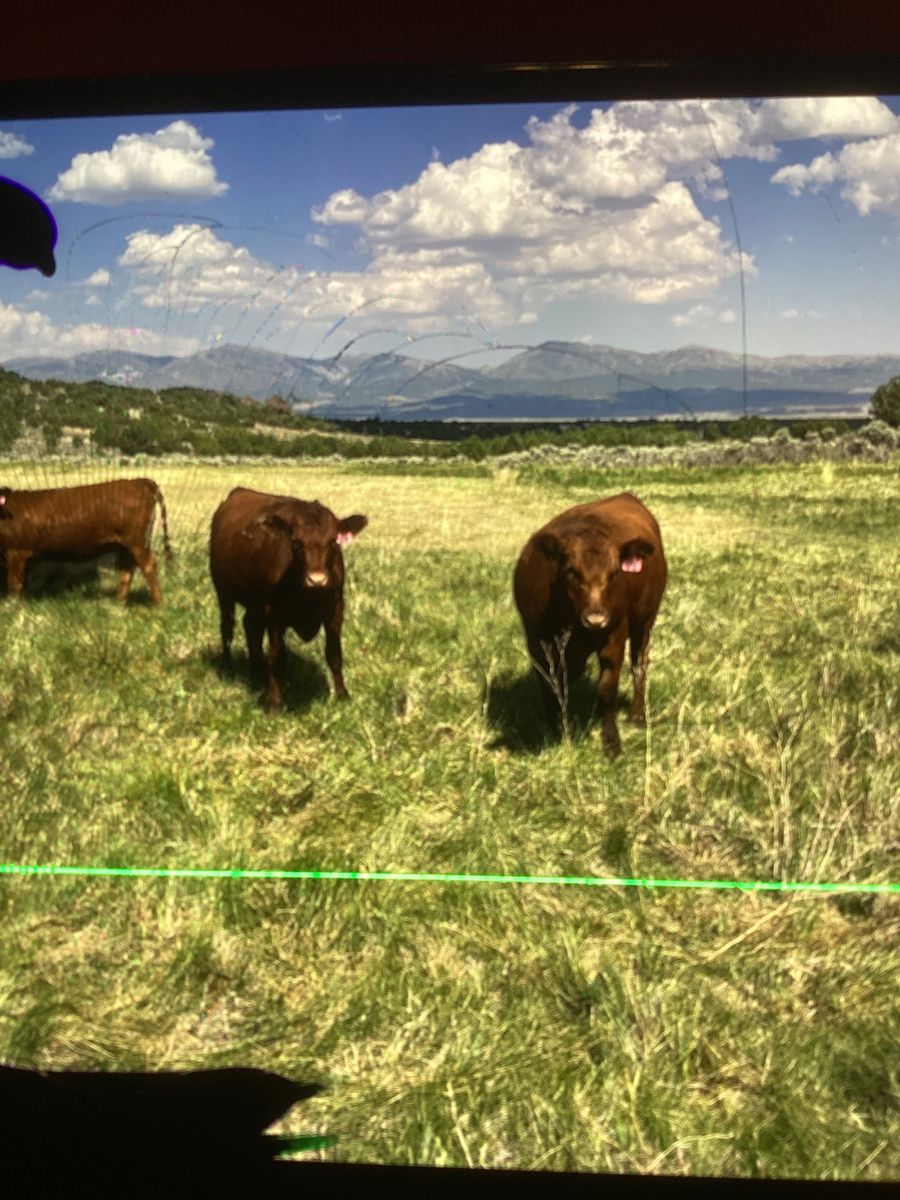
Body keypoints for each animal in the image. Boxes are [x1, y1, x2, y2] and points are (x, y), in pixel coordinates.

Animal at [0, 478, 173, 604]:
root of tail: (140, 481)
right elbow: (21, 583)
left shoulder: (16, 551)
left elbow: (14, 584)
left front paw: (14, 608)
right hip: (125, 545)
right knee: (127, 570)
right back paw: (118, 605)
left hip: (136, 541)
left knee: (148, 565)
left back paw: (159, 604)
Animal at [209, 487, 367, 712]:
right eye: (296, 542)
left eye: (333, 541)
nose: (316, 580)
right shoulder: (274, 612)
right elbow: (276, 656)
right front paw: (274, 700)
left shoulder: (336, 609)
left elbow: (334, 654)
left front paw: (342, 694)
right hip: (224, 591)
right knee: (227, 627)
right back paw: (228, 668)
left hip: (254, 603)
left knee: (251, 626)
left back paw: (256, 672)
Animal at [513, 492, 667, 755]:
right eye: (570, 570)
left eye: (616, 572)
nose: (596, 618)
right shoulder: (537, 640)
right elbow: (550, 685)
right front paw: (557, 731)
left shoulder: (615, 635)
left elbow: (606, 689)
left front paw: (611, 742)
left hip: (645, 620)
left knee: (639, 663)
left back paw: (637, 715)